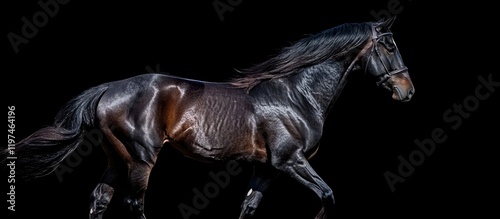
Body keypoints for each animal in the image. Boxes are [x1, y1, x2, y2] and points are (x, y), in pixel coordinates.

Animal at [0, 17, 414, 219]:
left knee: (100, 199)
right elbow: (327, 197)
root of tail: (107, 89)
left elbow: (248, 208)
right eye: (388, 45)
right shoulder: (290, 161)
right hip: (140, 158)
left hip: (117, 159)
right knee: (133, 204)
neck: (297, 95)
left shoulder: (268, 168)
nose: (407, 90)